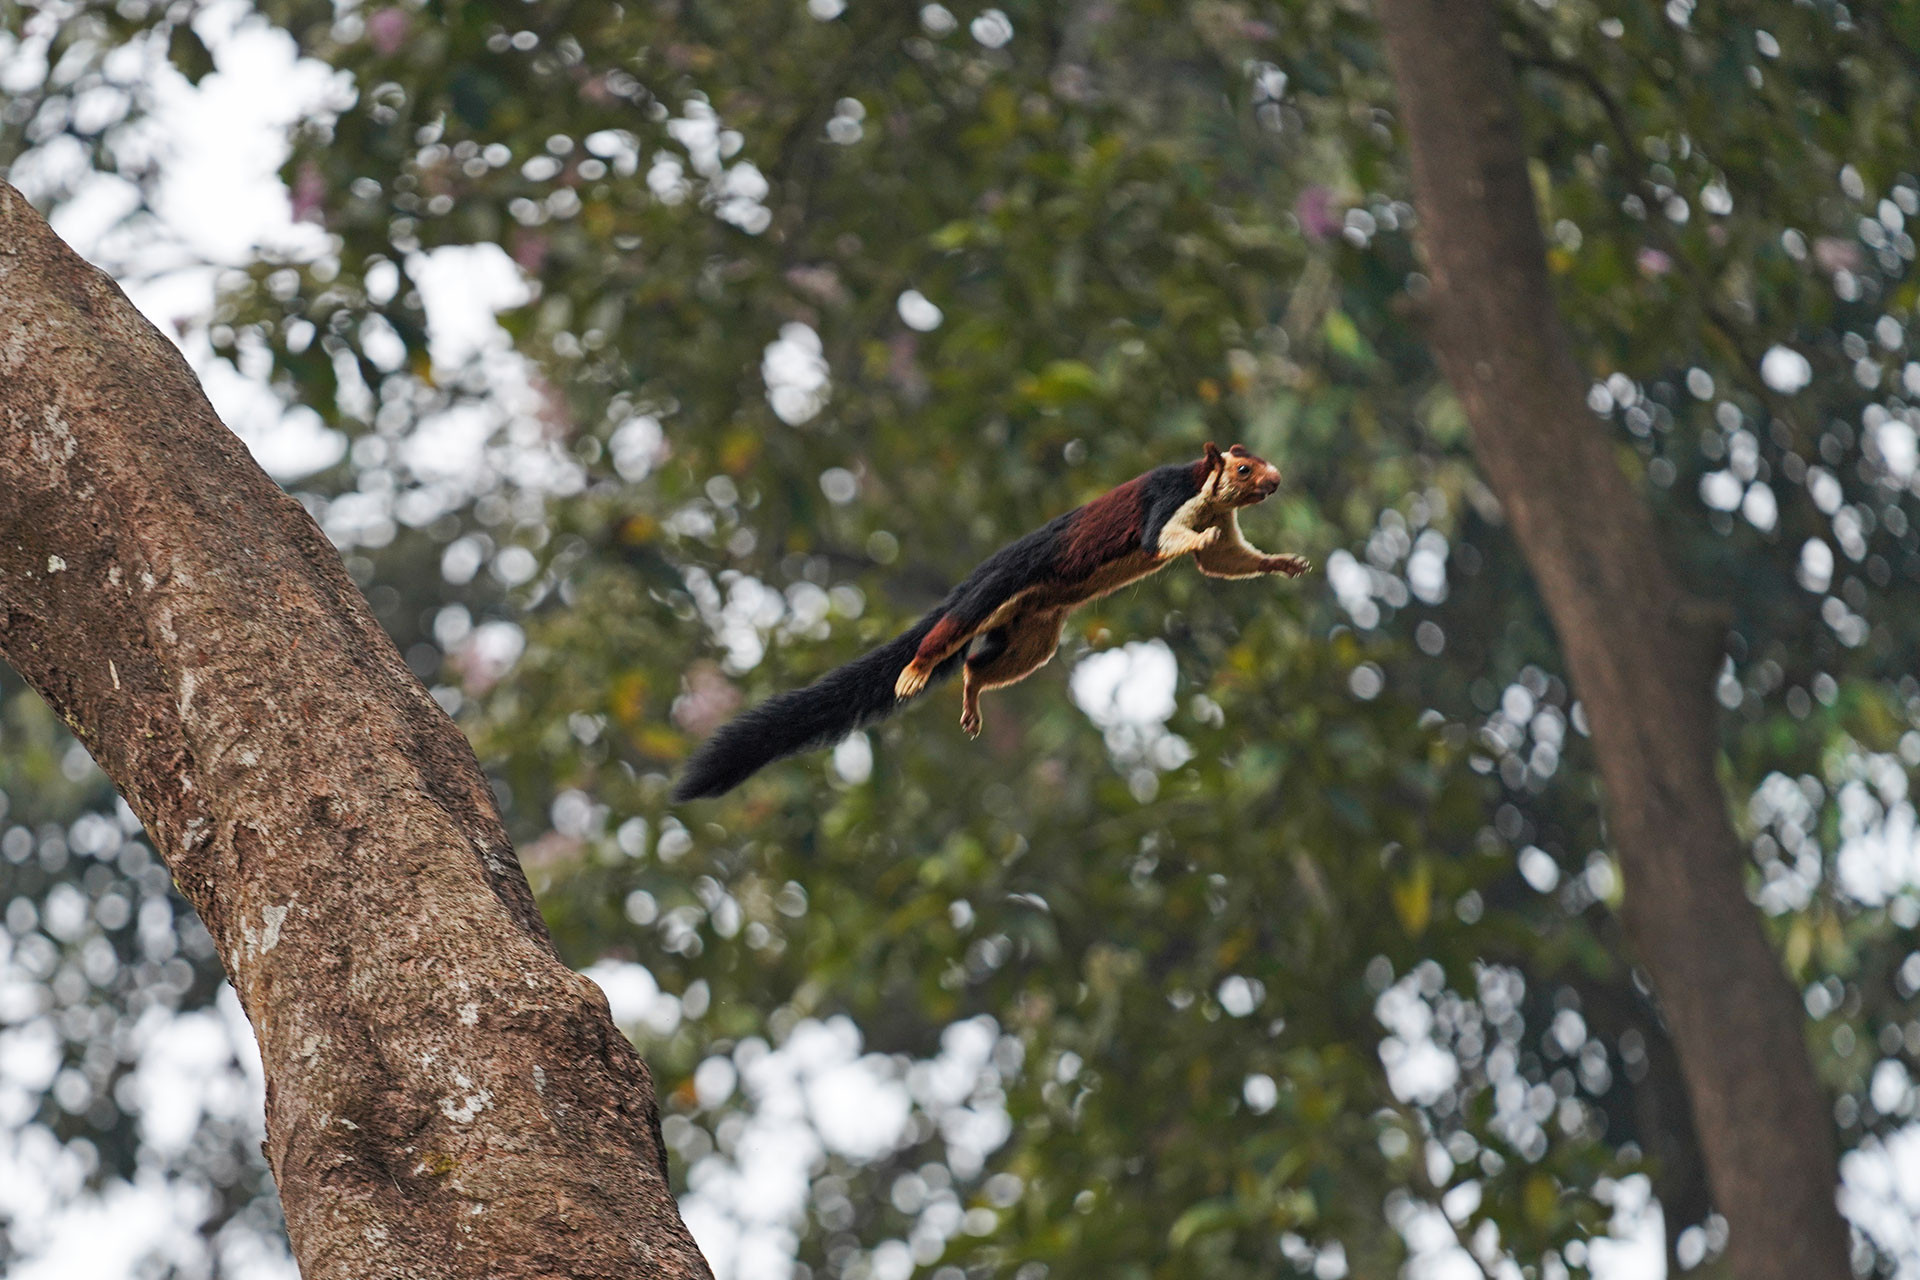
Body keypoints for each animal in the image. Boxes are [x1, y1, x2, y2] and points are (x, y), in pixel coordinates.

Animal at [672, 442, 1310, 800]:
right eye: (1245, 468)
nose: (1277, 481)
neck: (1206, 491)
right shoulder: (1166, 499)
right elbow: (1165, 540)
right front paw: (1196, 538)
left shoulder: (1224, 527)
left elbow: (1223, 561)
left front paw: (1284, 563)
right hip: (994, 591)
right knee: (952, 628)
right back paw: (917, 667)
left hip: (1034, 632)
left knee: (981, 665)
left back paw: (972, 691)